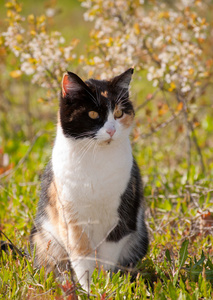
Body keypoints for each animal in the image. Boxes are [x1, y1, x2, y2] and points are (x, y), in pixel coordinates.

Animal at [30, 68, 149, 290]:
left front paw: (105, 285)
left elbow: (107, 256)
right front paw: (88, 289)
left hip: (139, 237)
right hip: (44, 240)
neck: (96, 159)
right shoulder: (71, 216)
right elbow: (81, 256)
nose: (111, 130)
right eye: (93, 114)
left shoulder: (121, 217)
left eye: (118, 113)